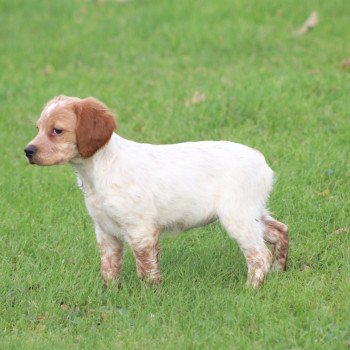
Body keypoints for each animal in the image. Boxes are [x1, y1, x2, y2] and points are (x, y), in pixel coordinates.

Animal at [23, 95, 288, 288]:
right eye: (38, 128)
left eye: (57, 130)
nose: (28, 151)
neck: (98, 170)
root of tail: (261, 160)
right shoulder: (105, 231)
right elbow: (109, 267)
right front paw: (109, 292)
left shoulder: (140, 230)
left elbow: (146, 269)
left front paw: (150, 296)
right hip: (253, 213)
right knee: (280, 231)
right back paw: (280, 271)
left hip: (237, 216)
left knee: (259, 255)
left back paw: (251, 288)